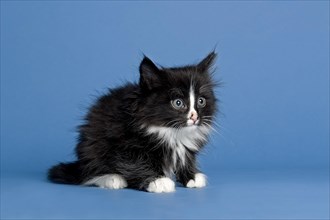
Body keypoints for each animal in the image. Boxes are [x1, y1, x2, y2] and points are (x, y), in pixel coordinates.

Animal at [46, 51, 217, 192]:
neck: (172, 133)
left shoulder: (185, 148)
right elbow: (136, 163)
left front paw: (192, 177)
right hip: (92, 146)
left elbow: (185, 159)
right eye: (178, 103)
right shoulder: (124, 145)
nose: (194, 117)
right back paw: (113, 178)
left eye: (201, 101)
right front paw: (158, 181)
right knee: (91, 172)